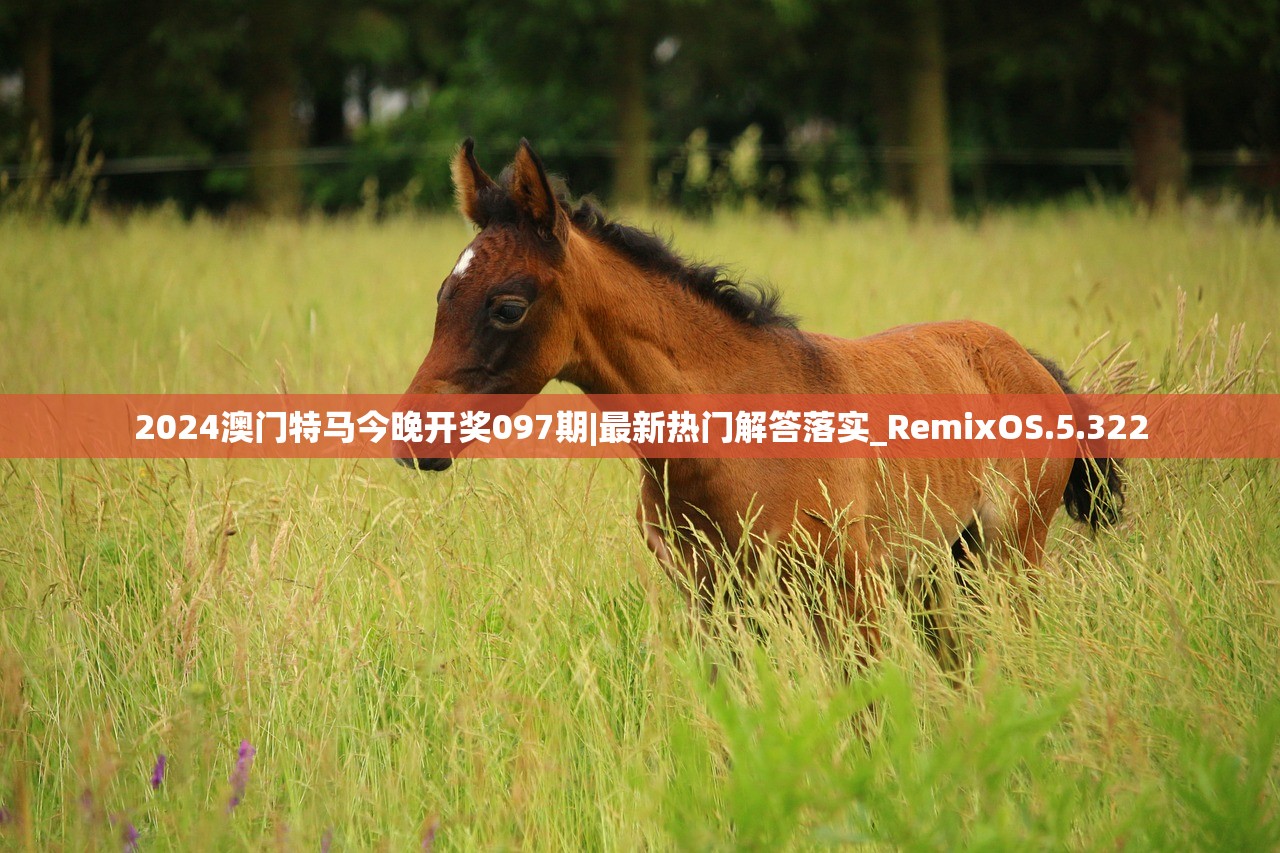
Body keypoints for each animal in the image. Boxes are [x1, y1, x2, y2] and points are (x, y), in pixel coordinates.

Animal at [395, 138, 1123, 660]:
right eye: (441, 295)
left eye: (507, 306)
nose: (410, 440)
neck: (726, 439)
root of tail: (1031, 363)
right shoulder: (714, 603)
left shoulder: (847, 594)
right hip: (942, 570)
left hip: (1009, 557)